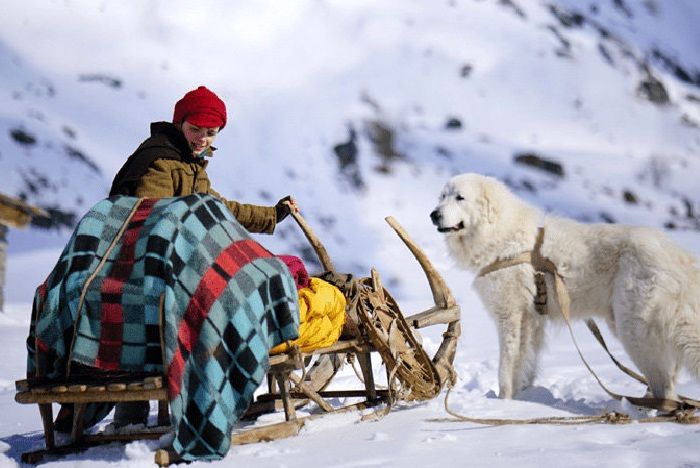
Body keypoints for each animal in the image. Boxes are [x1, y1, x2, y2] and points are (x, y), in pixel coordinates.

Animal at [430, 174, 700, 400]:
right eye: (441, 196)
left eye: (460, 197)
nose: (433, 214)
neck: (501, 236)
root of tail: (680, 258)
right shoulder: (531, 321)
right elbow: (525, 364)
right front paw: (522, 398)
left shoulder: (511, 316)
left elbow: (505, 367)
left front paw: (503, 402)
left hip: (634, 330)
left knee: (665, 387)